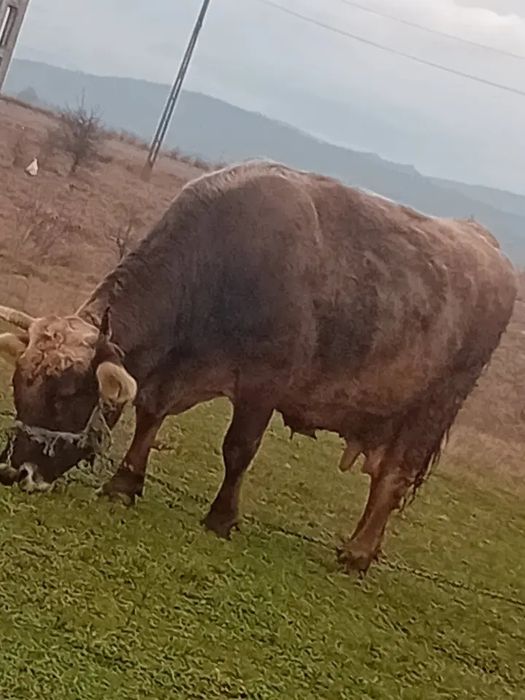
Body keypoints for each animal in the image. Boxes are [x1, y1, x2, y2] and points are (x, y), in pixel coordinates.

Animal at [0, 161, 516, 572]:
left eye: (67, 396)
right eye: (19, 388)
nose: (16, 471)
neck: (218, 266)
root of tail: (487, 246)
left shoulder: (263, 385)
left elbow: (238, 449)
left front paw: (221, 517)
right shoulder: (170, 374)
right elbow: (149, 417)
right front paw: (124, 483)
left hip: (432, 409)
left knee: (392, 479)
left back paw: (357, 553)